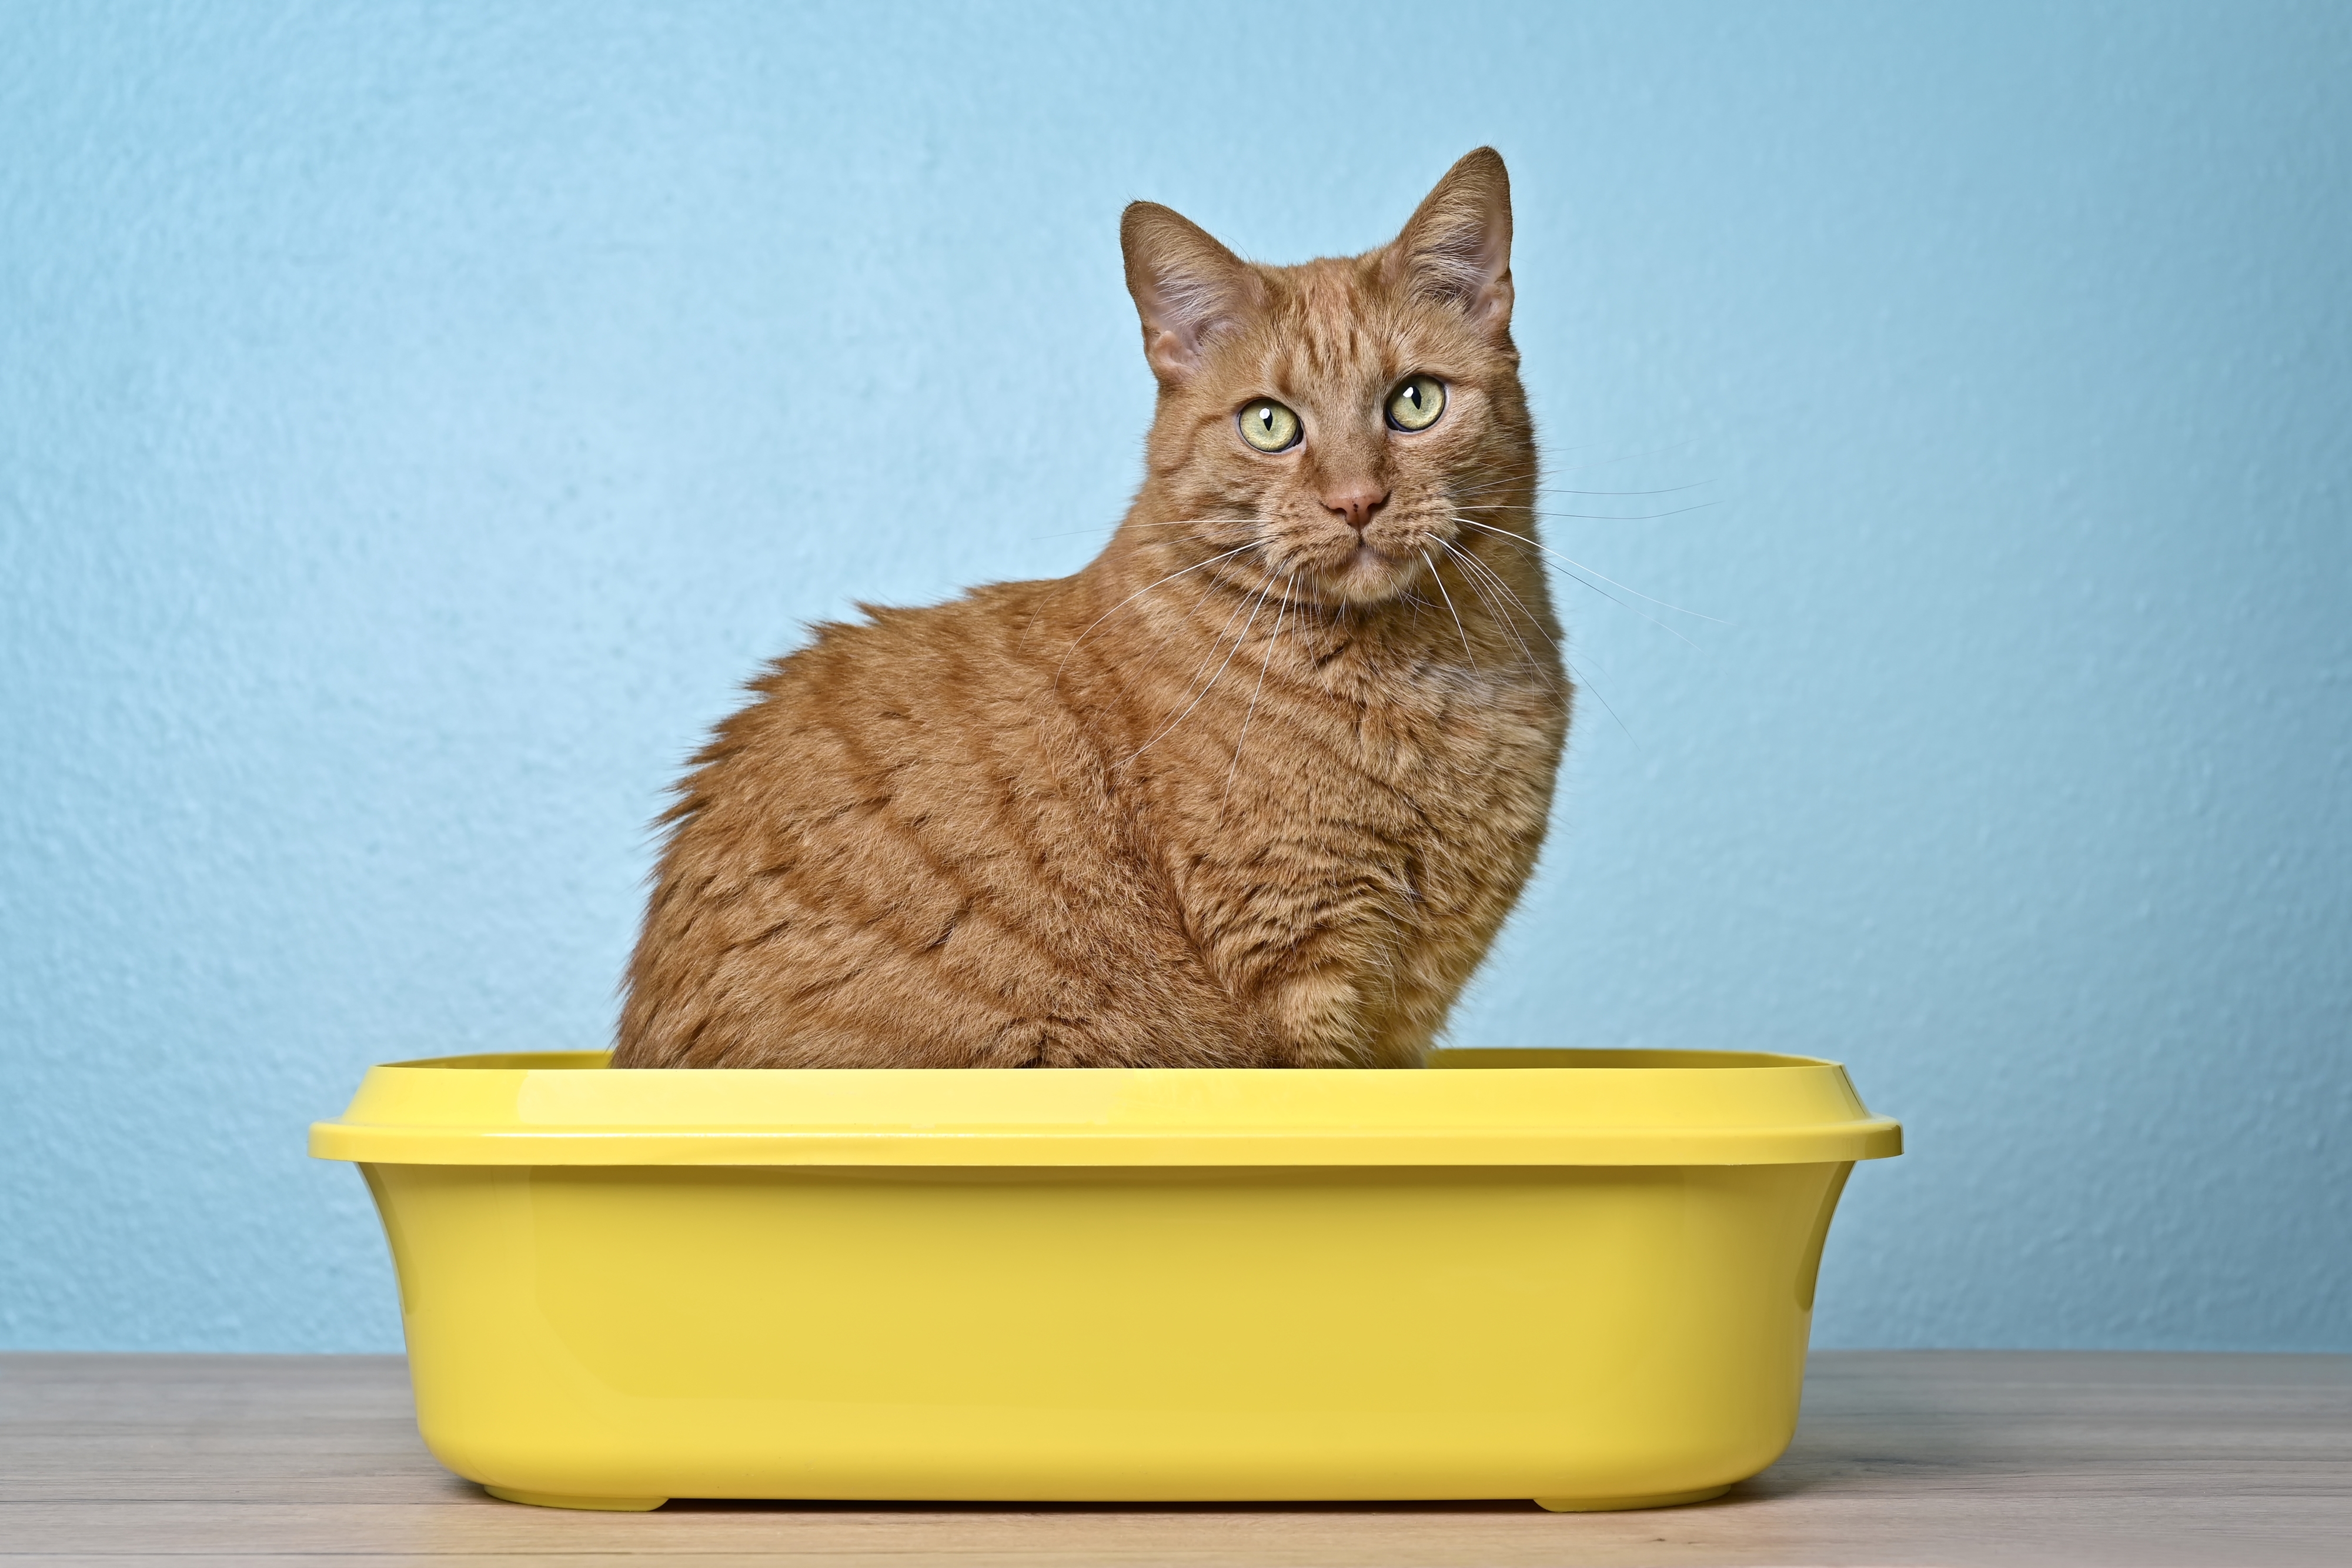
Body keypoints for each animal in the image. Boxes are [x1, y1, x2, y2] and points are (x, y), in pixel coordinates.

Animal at [612, 150, 1562, 1067]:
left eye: (1415, 402)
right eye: (1268, 425)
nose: (1356, 500)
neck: (1425, 685)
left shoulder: (1401, 1018)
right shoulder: (1296, 967)